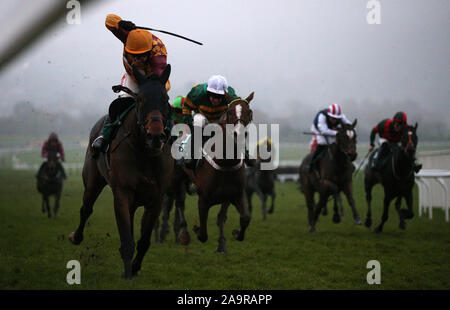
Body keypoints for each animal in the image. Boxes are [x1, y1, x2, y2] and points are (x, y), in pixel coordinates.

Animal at [68, 65, 174, 278]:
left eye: (166, 99)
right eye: (140, 99)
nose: (155, 136)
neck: (144, 154)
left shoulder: (156, 199)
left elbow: (143, 241)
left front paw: (135, 267)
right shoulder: (122, 195)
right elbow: (127, 241)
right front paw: (127, 274)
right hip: (92, 181)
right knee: (86, 209)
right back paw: (76, 236)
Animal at [183, 91, 253, 252]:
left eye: (249, 112)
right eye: (230, 111)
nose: (239, 134)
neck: (225, 162)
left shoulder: (235, 193)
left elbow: (244, 218)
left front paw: (235, 234)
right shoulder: (203, 198)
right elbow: (203, 233)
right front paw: (196, 229)